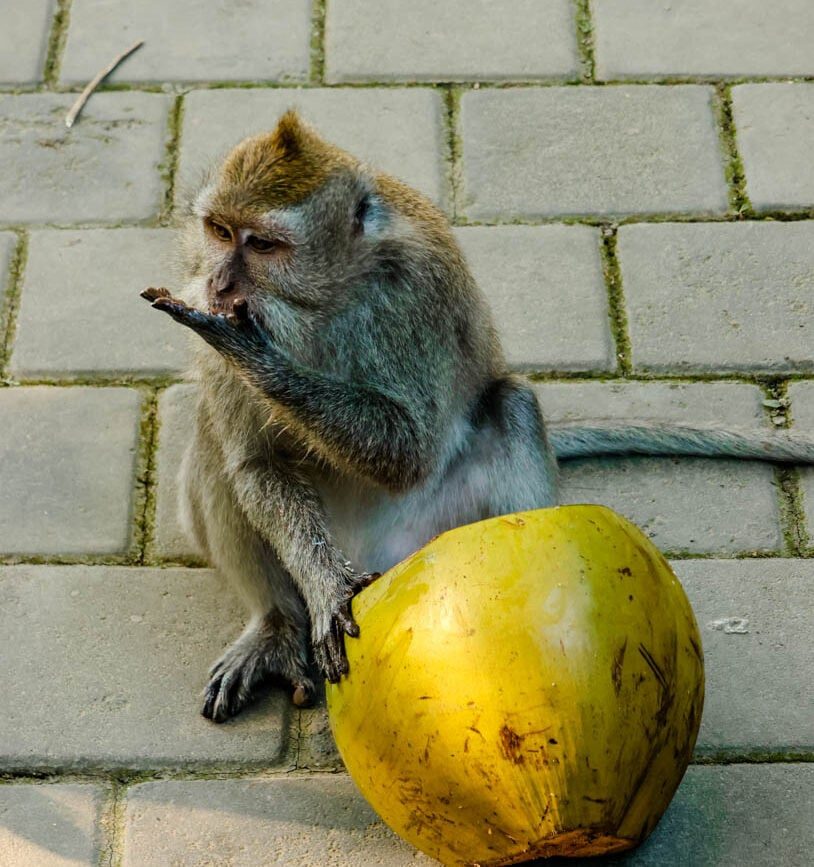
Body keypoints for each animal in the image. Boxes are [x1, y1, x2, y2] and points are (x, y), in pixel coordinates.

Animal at [142, 110, 814, 723]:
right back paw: (277, 625)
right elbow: (256, 465)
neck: (326, 300)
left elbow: (407, 452)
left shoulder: (415, 294)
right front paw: (326, 589)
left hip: (438, 530)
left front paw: (251, 351)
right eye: (219, 230)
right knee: (214, 442)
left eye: (263, 245)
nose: (221, 285)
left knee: (509, 404)